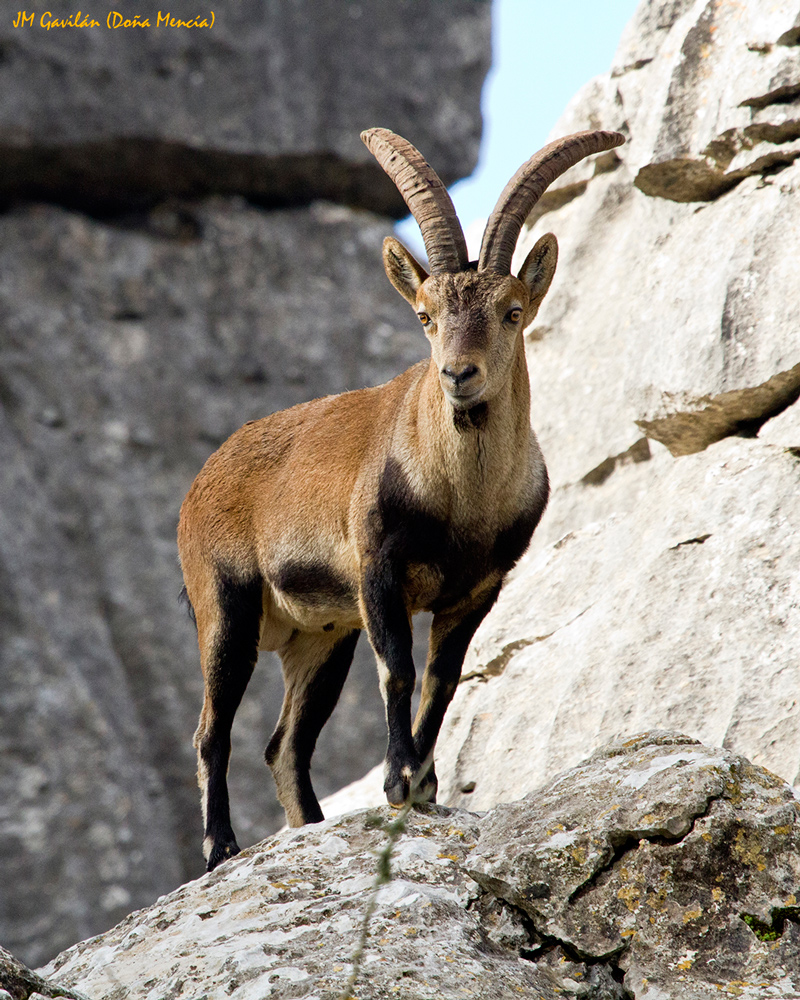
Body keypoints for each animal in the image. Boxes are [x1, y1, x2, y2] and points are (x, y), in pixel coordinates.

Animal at [178, 126, 625, 871]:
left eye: (511, 312)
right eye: (425, 316)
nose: (458, 374)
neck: (462, 501)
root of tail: (201, 480)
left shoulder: (475, 590)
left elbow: (442, 680)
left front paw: (425, 785)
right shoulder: (378, 571)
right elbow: (398, 670)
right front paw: (398, 780)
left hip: (321, 637)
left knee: (285, 745)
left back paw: (309, 825)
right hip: (226, 606)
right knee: (212, 728)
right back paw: (220, 848)